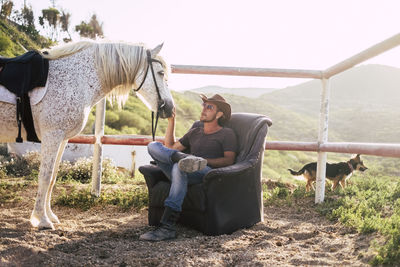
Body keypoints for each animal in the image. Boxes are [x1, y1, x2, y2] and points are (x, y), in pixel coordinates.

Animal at [0, 40, 175, 230]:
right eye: (161, 73)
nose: (170, 108)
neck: (76, 79)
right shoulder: (52, 136)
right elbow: (45, 177)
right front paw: (42, 220)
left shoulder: (61, 139)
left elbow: (53, 177)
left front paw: (50, 215)